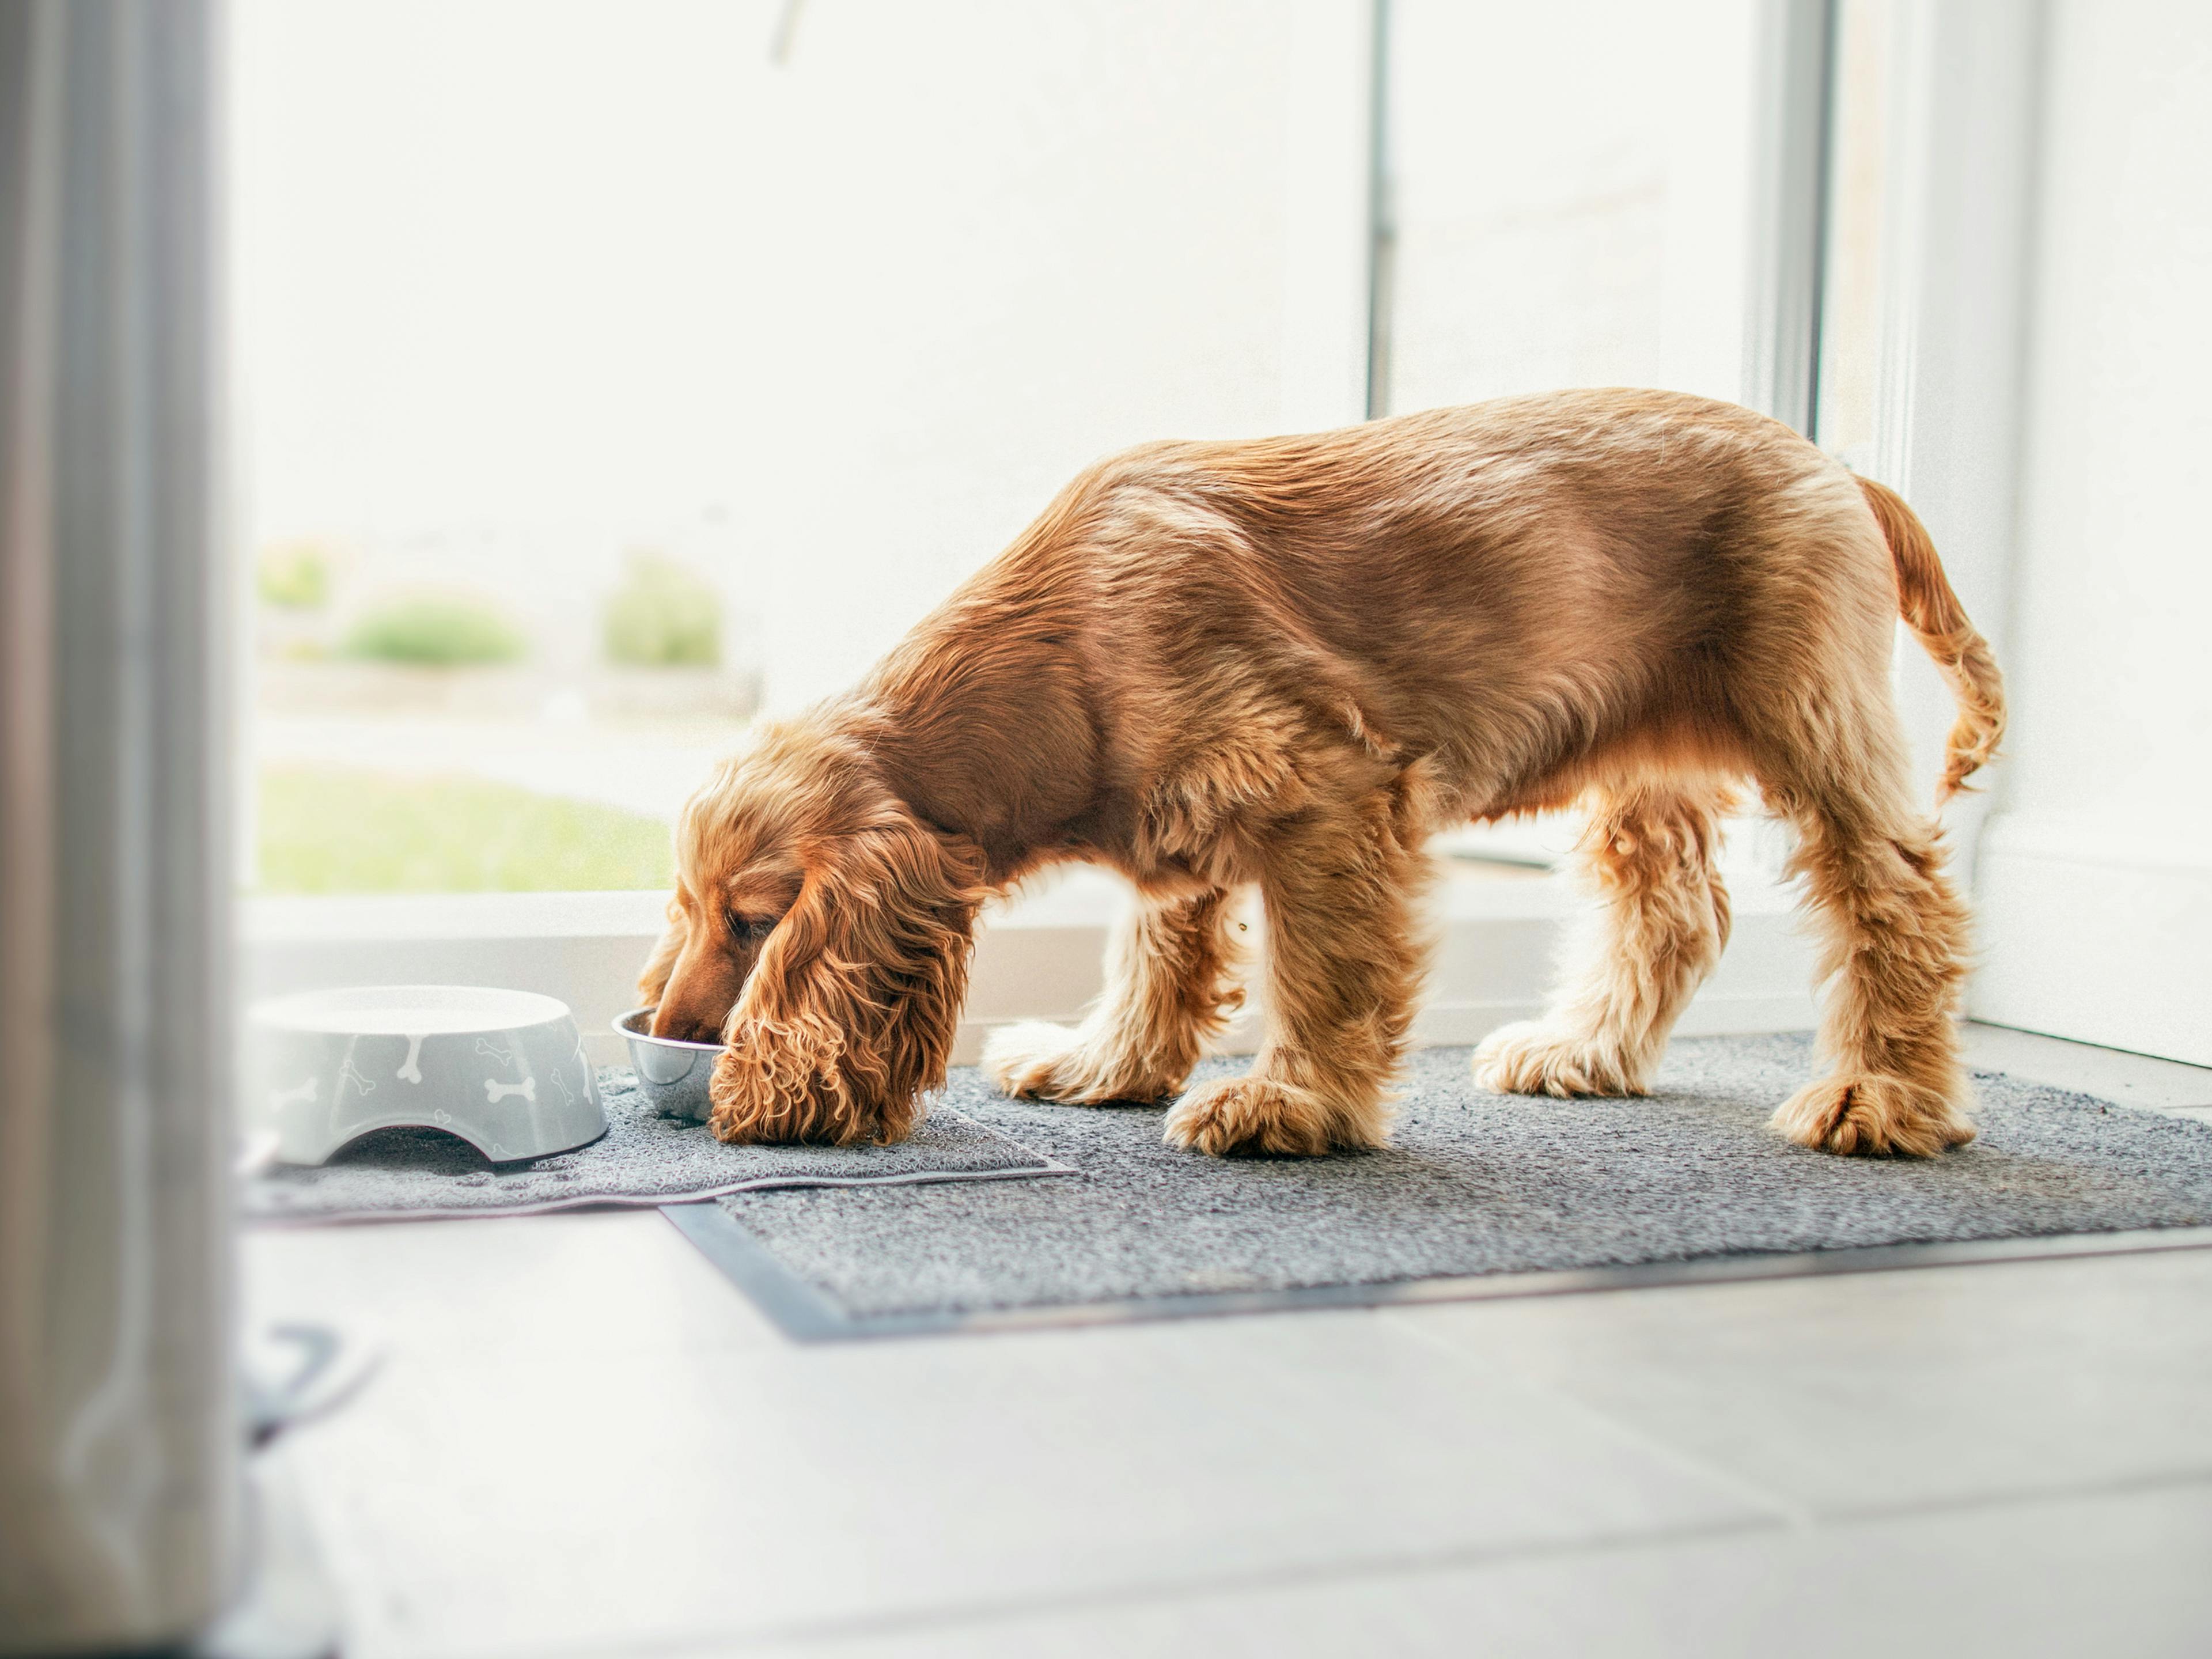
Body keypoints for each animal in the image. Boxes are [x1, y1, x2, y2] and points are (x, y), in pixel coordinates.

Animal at [641, 393, 2008, 1159]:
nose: (667, 1032)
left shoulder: (1333, 793)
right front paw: (1106, 1064)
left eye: (755, 923)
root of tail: (1841, 468)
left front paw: (1293, 1108)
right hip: (1644, 766)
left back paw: (1883, 1097)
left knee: (1903, 902)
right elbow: (1158, 951)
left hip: (1814, 721)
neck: (1064, 644)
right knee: (1674, 911)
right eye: (688, 911)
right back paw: (1584, 1051)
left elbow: (1322, 973)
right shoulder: (1181, 818)